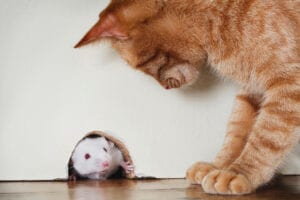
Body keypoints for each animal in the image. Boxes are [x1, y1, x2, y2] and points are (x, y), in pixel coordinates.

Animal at [74, 0, 298, 195]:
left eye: (143, 64)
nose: (165, 87)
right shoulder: (251, 91)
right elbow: (237, 133)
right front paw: (218, 166)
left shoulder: (288, 86)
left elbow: (266, 137)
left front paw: (239, 172)